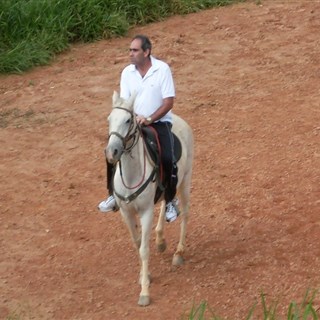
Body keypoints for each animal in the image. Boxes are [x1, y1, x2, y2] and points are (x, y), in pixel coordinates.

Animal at [106, 91, 194, 306]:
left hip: (185, 181)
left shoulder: (145, 212)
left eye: (128, 120)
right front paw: (143, 276)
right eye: (109, 120)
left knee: (185, 214)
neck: (132, 175)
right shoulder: (126, 212)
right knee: (166, 202)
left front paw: (145, 291)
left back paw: (179, 253)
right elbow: (137, 243)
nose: (112, 152)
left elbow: (144, 249)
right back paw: (161, 239)